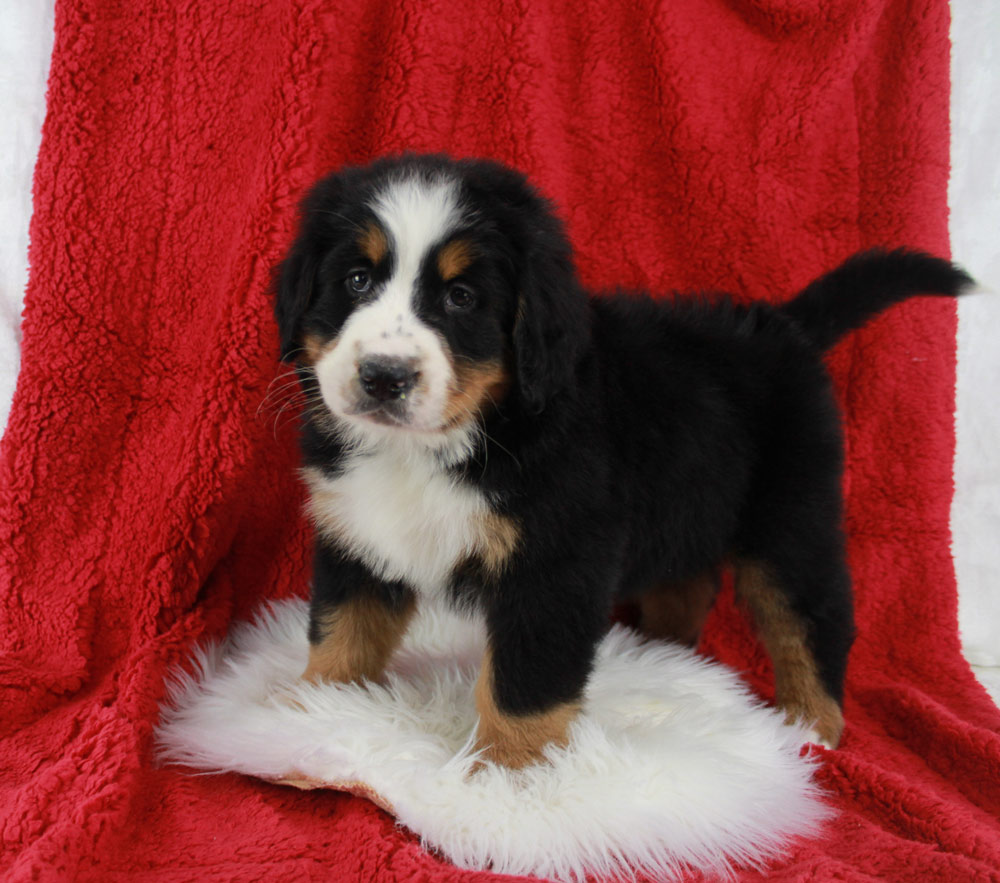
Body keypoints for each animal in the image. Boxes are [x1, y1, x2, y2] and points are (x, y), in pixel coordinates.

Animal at [270, 155, 972, 772]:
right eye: (357, 280)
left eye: (462, 297)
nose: (383, 376)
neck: (447, 442)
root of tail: (782, 324)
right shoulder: (360, 532)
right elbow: (343, 630)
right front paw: (308, 714)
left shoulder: (556, 560)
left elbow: (525, 680)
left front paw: (507, 774)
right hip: (689, 504)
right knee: (687, 583)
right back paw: (667, 658)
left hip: (791, 515)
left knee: (810, 614)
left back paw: (811, 726)